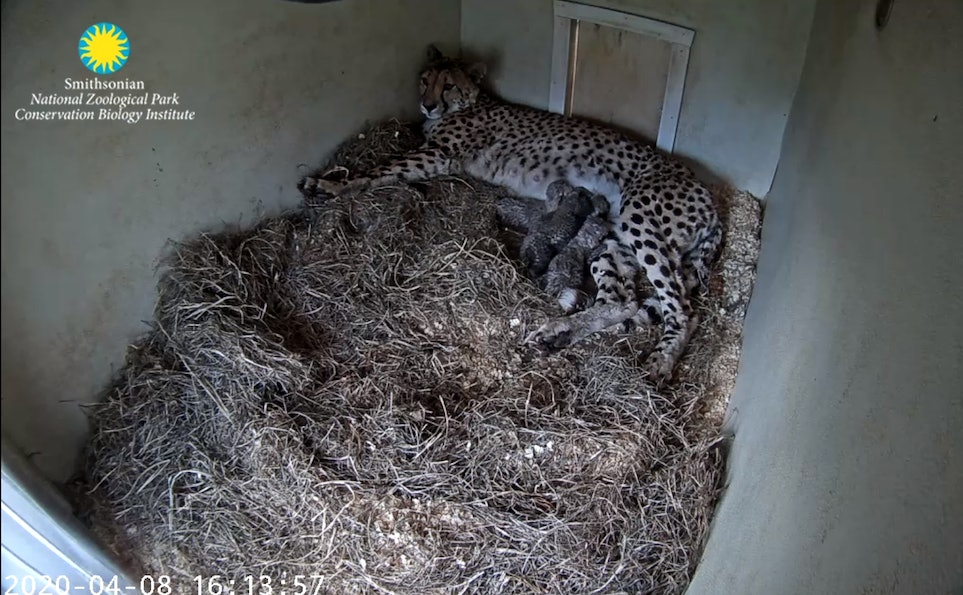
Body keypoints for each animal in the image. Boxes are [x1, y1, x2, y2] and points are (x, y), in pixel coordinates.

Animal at [302, 45, 724, 382]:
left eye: (448, 85)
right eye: (424, 80)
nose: (428, 104)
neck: (471, 101)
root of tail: (708, 196)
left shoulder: (437, 155)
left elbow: (382, 168)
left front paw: (332, 185)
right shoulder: (436, 157)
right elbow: (390, 170)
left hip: (641, 220)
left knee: (683, 309)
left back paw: (661, 360)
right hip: (611, 237)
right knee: (623, 301)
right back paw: (558, 333)